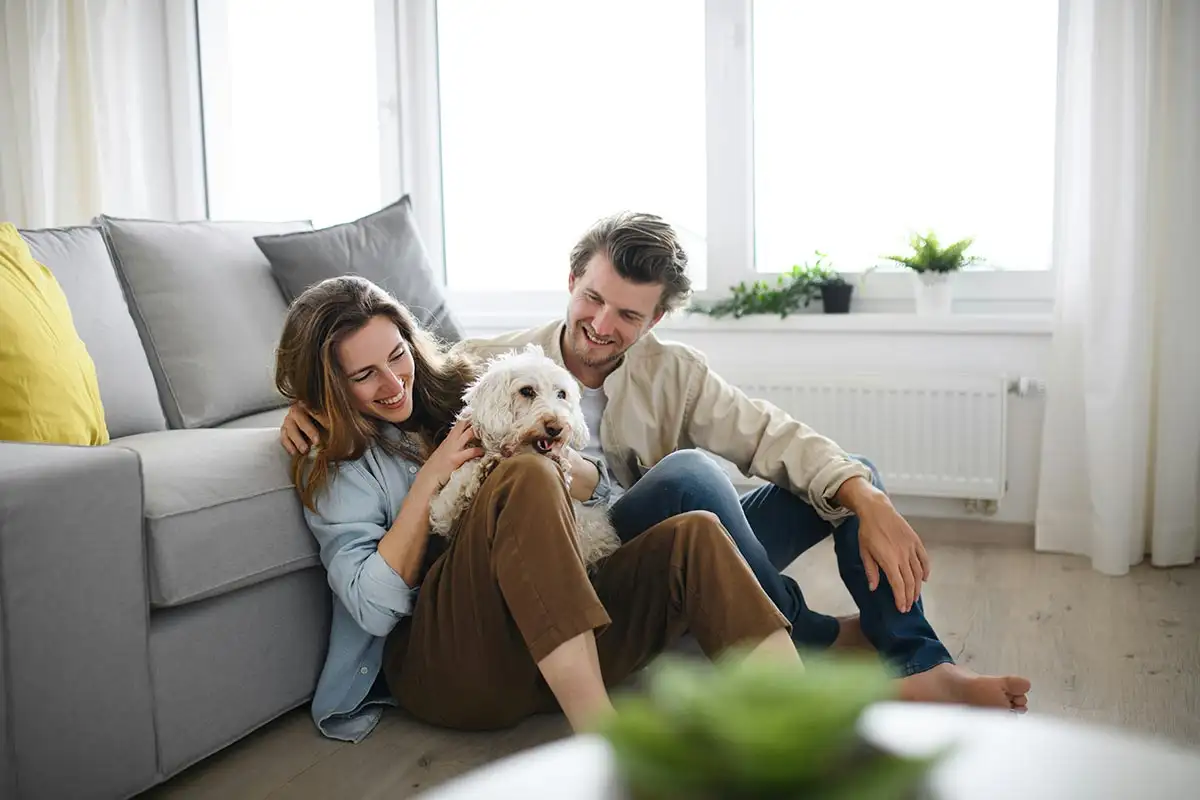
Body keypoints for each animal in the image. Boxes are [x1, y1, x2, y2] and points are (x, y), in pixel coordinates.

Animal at [429, 345, 619, 568]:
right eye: (527, 391)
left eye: (561, 394)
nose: (556, 427)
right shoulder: (444, 515)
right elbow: (456, 486)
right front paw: (483, 468)